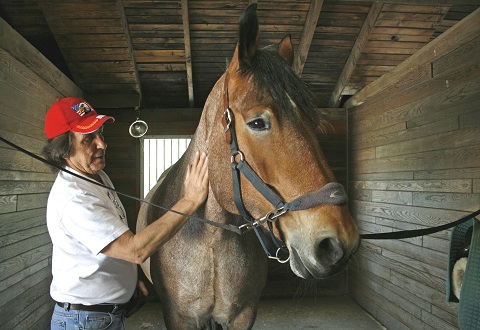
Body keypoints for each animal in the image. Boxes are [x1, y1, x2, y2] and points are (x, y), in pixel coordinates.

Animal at [137, 3, 358, 328]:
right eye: (257, 123)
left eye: (312, 121)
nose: (338, 243)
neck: (212, 237)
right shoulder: (178, 317)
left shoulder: (243, 314)